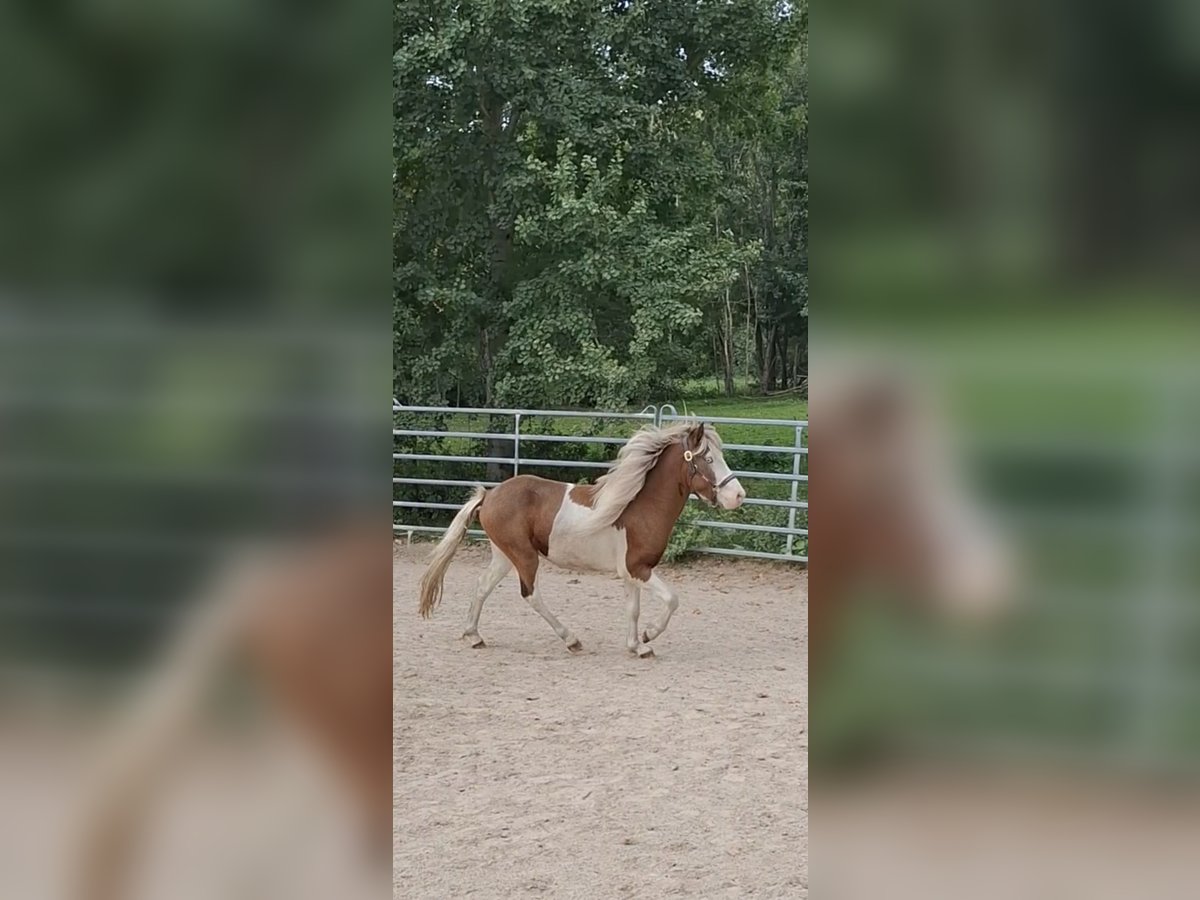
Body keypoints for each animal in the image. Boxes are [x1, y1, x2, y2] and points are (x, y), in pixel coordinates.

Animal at [417, 421, 747, 657]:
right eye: (708, 458)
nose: (738, 495)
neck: (639, 506)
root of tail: (489, 495)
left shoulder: (630, 573)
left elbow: (633, 609)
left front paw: (637, 646)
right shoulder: (639, 568)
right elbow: (671, 599)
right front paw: (648, 634)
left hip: (504, 555)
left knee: (482, 587)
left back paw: (474, 636)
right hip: (524, 556)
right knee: (531, 594)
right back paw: (571, 639)